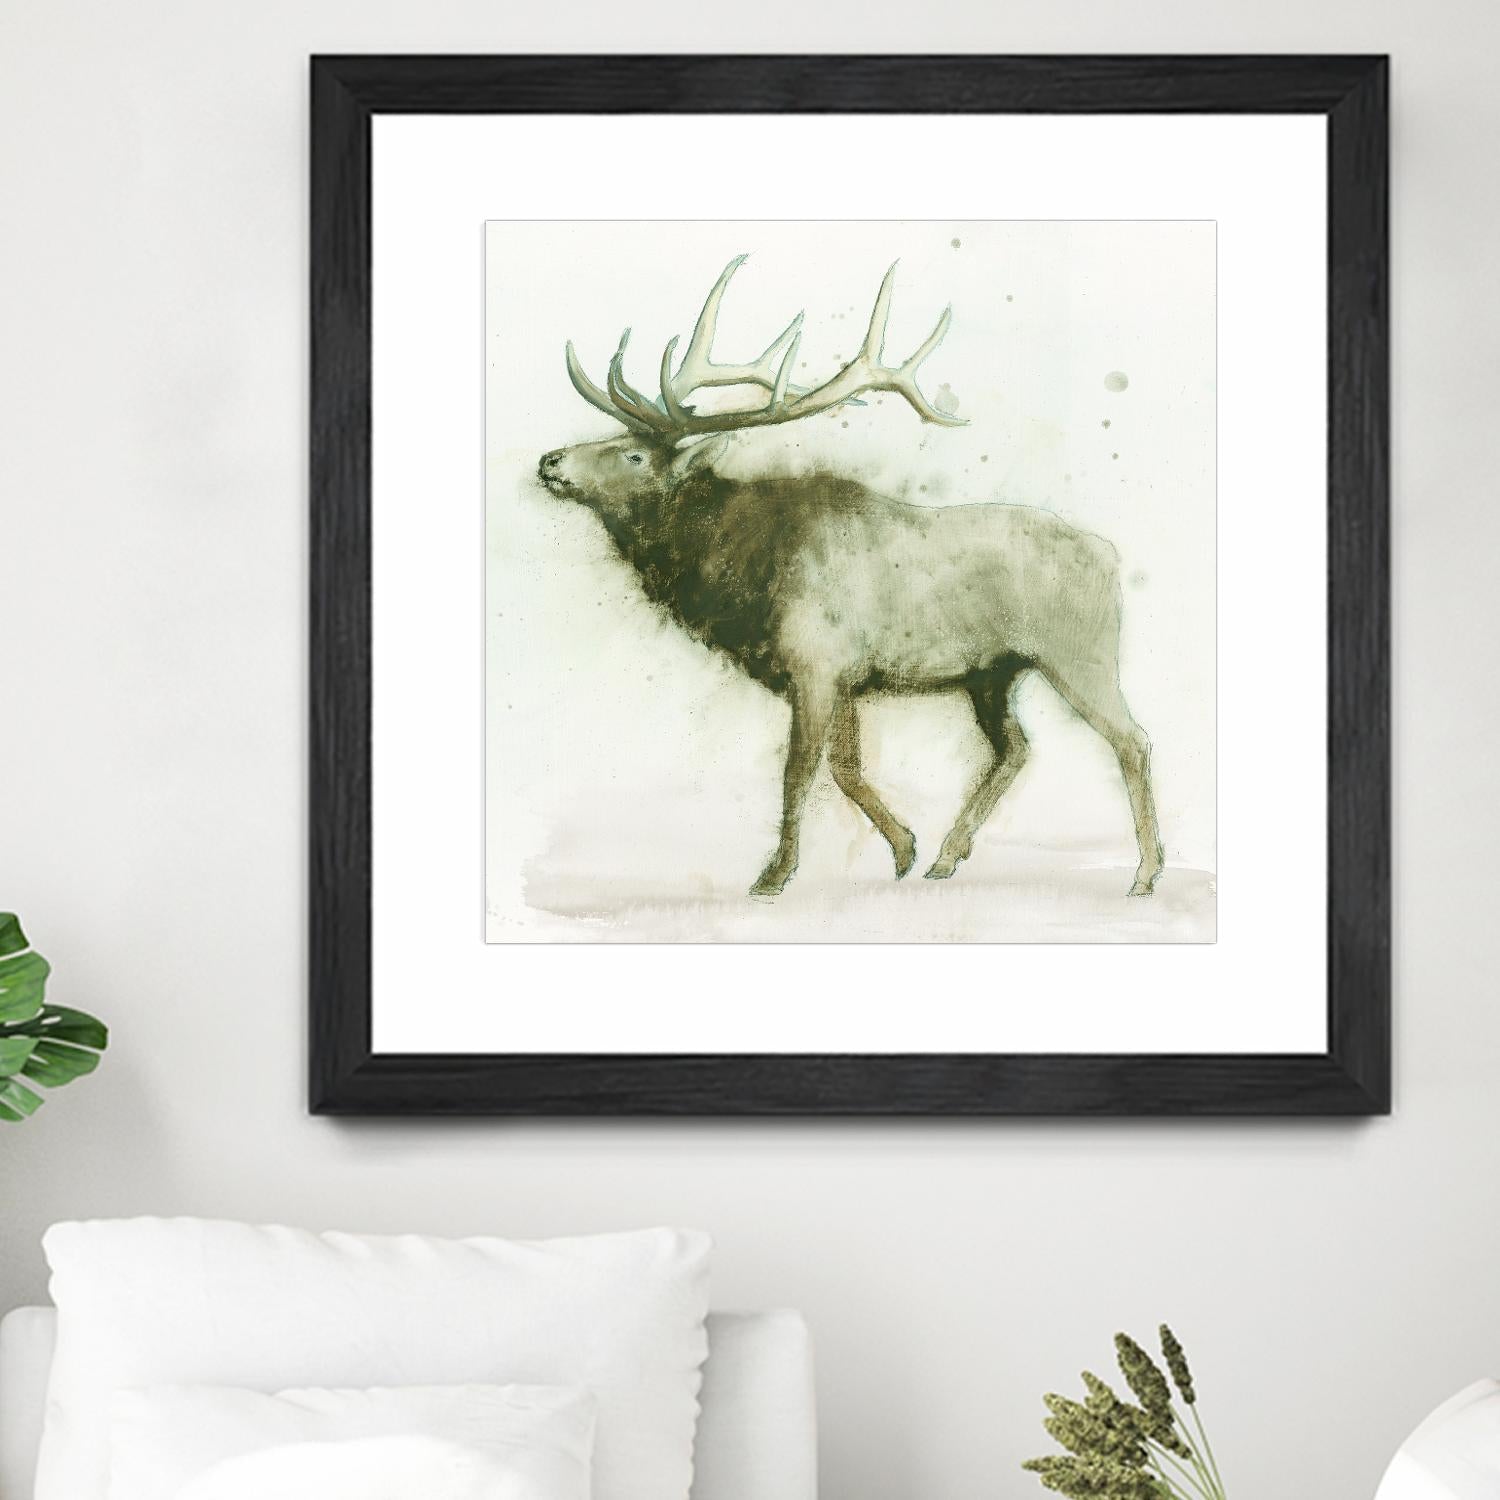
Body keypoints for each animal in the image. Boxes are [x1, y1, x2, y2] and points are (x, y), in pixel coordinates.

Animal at [536, 256, 1164, 899]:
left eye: (634, 455)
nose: (549, 461)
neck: (738, 579)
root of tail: (1108, 555)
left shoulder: (816, 663)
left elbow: (798, 773)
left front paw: (774, 875)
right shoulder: (845, 679)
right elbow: (845, 767)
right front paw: (905, 848)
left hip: (1078, 651)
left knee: (1131, 738)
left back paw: (1145, 873)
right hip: (991, 673)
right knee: (1016, 748)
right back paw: (948, 856)